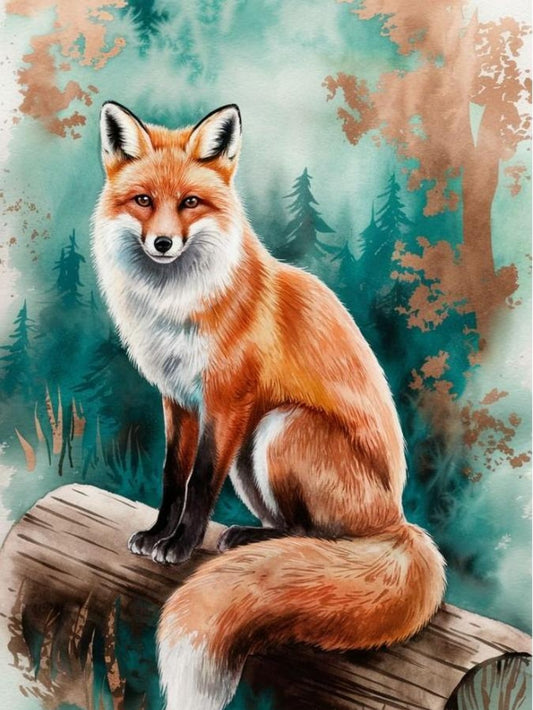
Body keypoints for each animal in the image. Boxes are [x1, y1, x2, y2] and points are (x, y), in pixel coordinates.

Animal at [92, 101, 446, 710]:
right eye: (143, 201)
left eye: (190, 203)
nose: (162, 244)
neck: (176, 307)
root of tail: (399, 522)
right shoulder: (178, 400)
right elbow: (172, 477)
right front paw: (158, 534)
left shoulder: (228, 399)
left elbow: (199, 485)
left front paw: (180, 545)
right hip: (251, 455)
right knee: (296, 530)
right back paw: (250, 536)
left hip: (279, 426)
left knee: (317, 537)